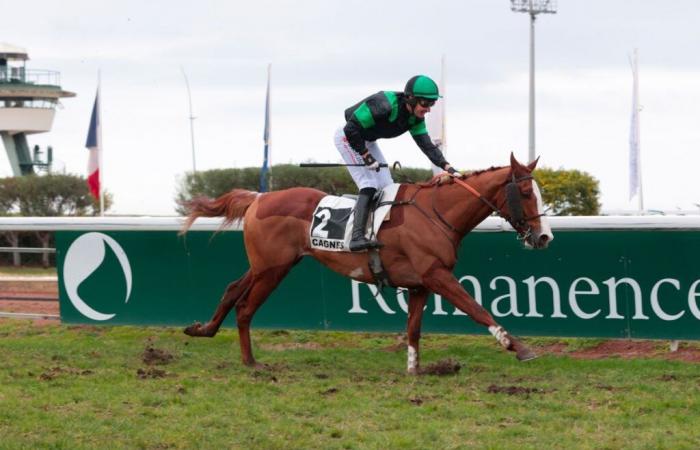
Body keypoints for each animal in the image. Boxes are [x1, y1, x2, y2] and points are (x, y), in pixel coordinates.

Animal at [179, 155, 552, 372]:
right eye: (526, 193)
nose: (545, 237)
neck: (436, 213)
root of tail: (260, 197)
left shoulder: (420, 283)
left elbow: (414, 328)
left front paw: (414, 369)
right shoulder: (437, 274)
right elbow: (477, 308)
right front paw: (518, 347)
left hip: (266, 265)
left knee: (232, 290)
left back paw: (203, 329)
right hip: (273, 269)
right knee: (245, 308)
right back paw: (250, 362)